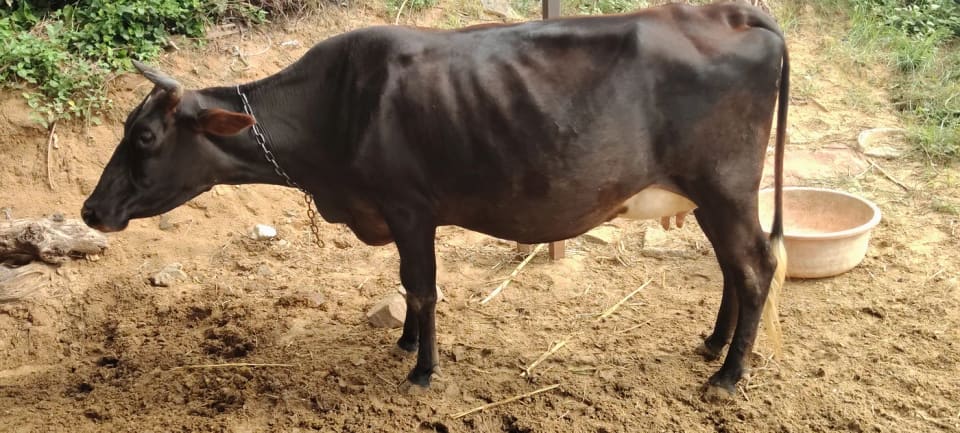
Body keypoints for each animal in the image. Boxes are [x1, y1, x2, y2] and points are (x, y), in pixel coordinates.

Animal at [81, 1, 789, 399]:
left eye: (144, 136)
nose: (90, 210)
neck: (338, 107)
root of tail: (727, 11)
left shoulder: (409, 208)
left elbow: (422, 287)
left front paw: (421, 371)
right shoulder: (398, 215)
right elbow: (405, 284)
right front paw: (403, 345)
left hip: (724, 185)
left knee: (755, 266)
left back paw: (727, 377)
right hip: (716, 194)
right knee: (734, 268)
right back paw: (712, 346)